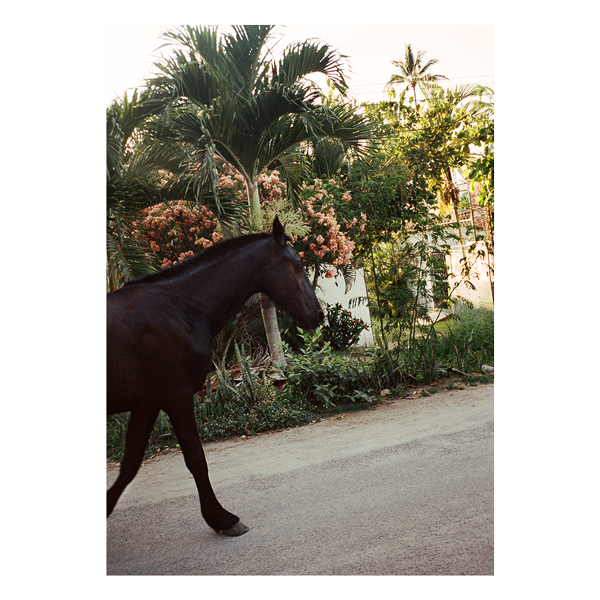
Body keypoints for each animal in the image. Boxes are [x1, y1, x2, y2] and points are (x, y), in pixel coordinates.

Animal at [108, 218, 324, 536]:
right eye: (298, 265)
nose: (318, 315)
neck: (179, 308)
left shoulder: (146, 403)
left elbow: (130, 465)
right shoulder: (176, 398)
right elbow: (196, 459)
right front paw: (221, 518)